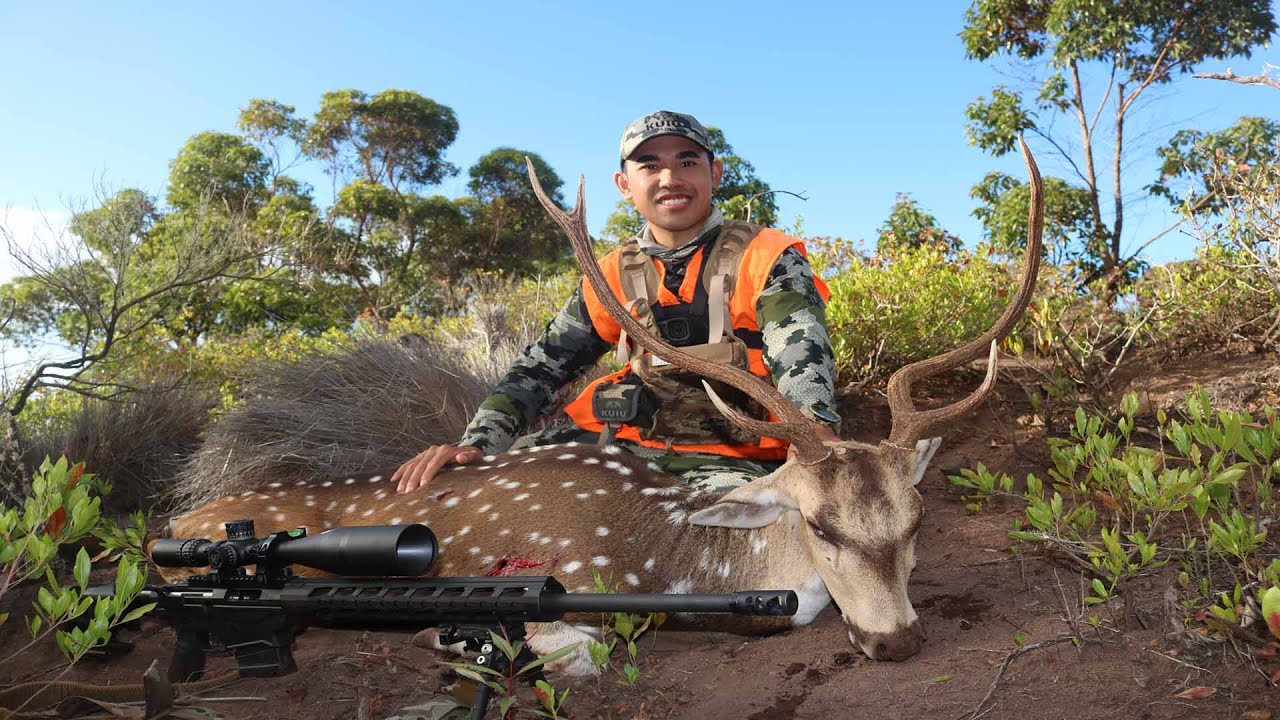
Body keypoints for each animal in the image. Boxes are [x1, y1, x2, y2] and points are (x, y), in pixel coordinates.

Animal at [160, 138, 1043, 674]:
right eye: (821, 526)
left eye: (916, 519)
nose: (898, 640)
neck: (672, 562)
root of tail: (176, 519)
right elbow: (582, 652)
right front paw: (443, 642)